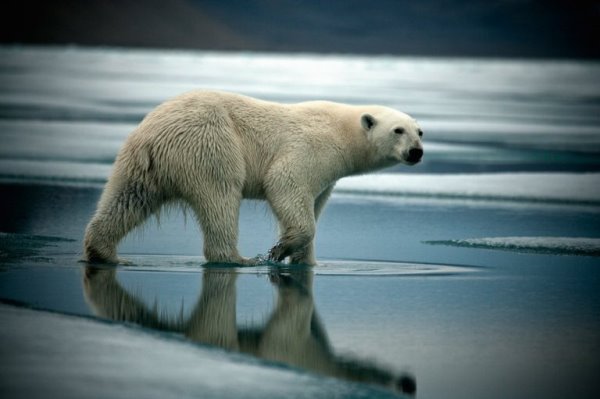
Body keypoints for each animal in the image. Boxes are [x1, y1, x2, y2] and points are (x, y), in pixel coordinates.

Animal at [82, 90, 424, 266]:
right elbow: (285, 185)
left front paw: (305, 262)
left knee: (127, 199)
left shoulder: (328, 177)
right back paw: (237, 258)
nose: (416, 152)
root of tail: (152, 134)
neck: (342, 132)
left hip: (140, 163)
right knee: (220, 198)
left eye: (420, 131)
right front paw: (278, 251)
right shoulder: (311, 148)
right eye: (398, 130)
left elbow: (313, 205)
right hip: (210, 144)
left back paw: (104, 252)